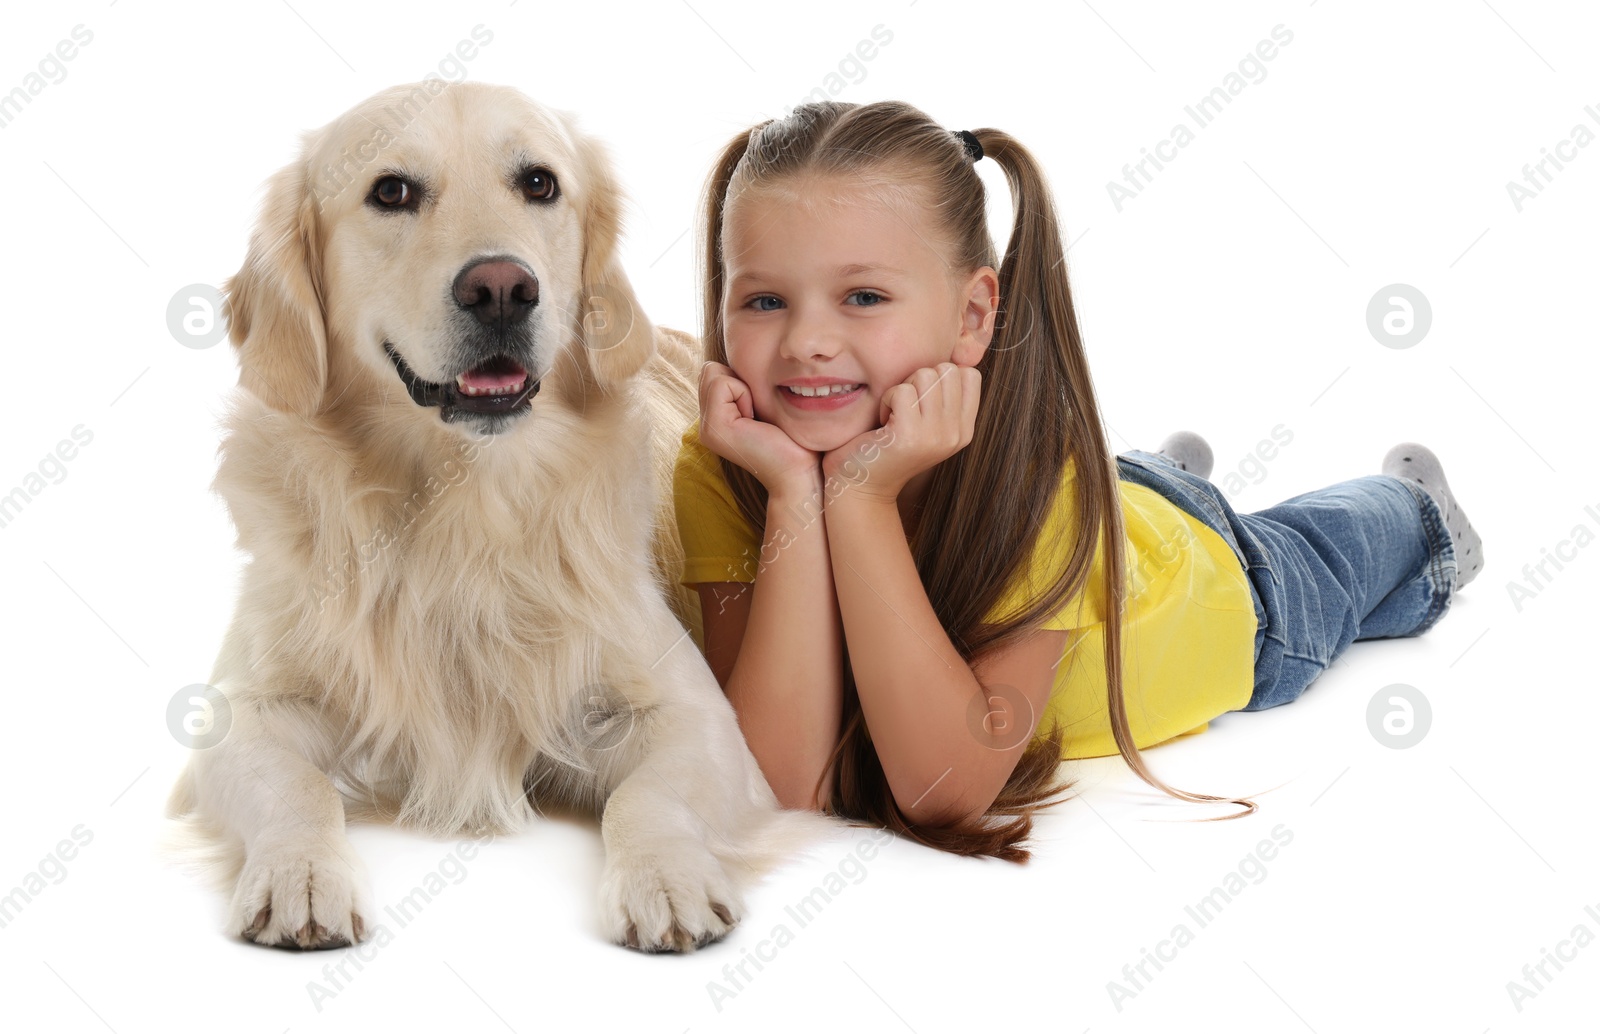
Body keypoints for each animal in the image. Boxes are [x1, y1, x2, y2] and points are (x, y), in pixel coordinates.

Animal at [164, 80, 838, 953]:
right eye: (390, 191)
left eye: (540, 183)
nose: (500, 289)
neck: (464, 502)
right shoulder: (242, 712)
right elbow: (293, 789)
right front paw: (299, 873)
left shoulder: (698, 715)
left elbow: (648, 796)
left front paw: (669, 876)